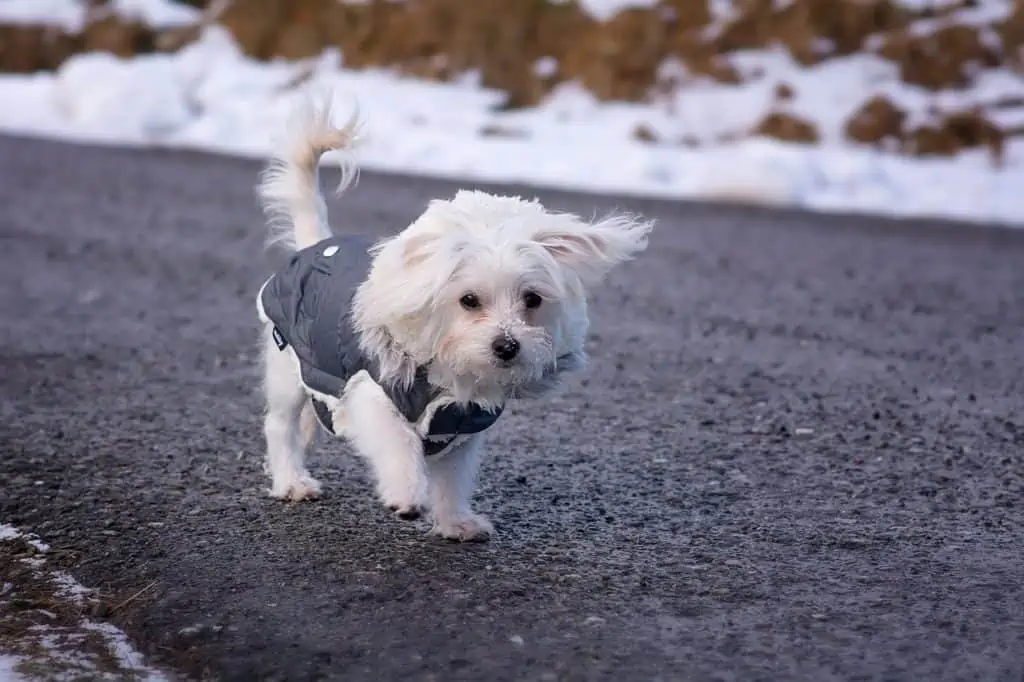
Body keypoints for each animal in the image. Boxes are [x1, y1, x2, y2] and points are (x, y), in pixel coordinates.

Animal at [256, 96, 655, 540]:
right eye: (468, 300)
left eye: (532, 299)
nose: (507, 345)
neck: (450, 379)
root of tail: (316, 244)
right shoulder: (374, 396)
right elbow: (399, 445)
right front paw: (407, 494)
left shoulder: (460, 426)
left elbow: (451, 480)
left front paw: (454, 522)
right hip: (286, 365)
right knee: (280, 425)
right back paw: (291, 480)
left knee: (310, 417)